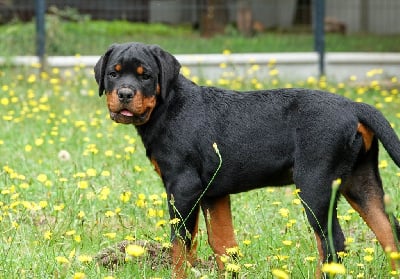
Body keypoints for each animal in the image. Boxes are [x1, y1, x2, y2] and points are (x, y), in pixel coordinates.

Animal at [95, 42, 400, 278]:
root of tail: (355, 107)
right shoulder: (213, 194)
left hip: (315, 186)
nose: (124, 94)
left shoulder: (182, 188)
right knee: (390, 234)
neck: (168, 106)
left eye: (146, 76)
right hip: (360, 182)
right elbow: (223, 245)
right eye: (113, 74)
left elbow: (182, 247)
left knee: (332, 244)